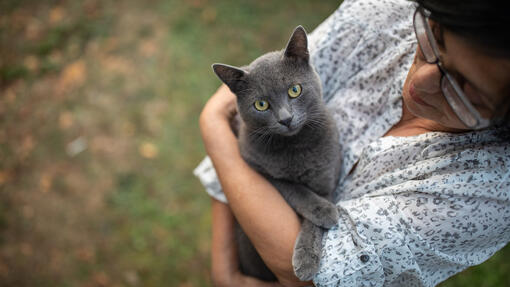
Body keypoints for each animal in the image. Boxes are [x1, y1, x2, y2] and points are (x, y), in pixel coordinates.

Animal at [211, 25, 342, 282]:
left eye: (294, 90)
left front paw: (307, 257)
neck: (295, 146)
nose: (286, 119)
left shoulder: (328, 181)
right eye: (261, 105)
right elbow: (295, 190)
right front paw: (323, 212)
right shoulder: (257, 166)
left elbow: (314, 222)